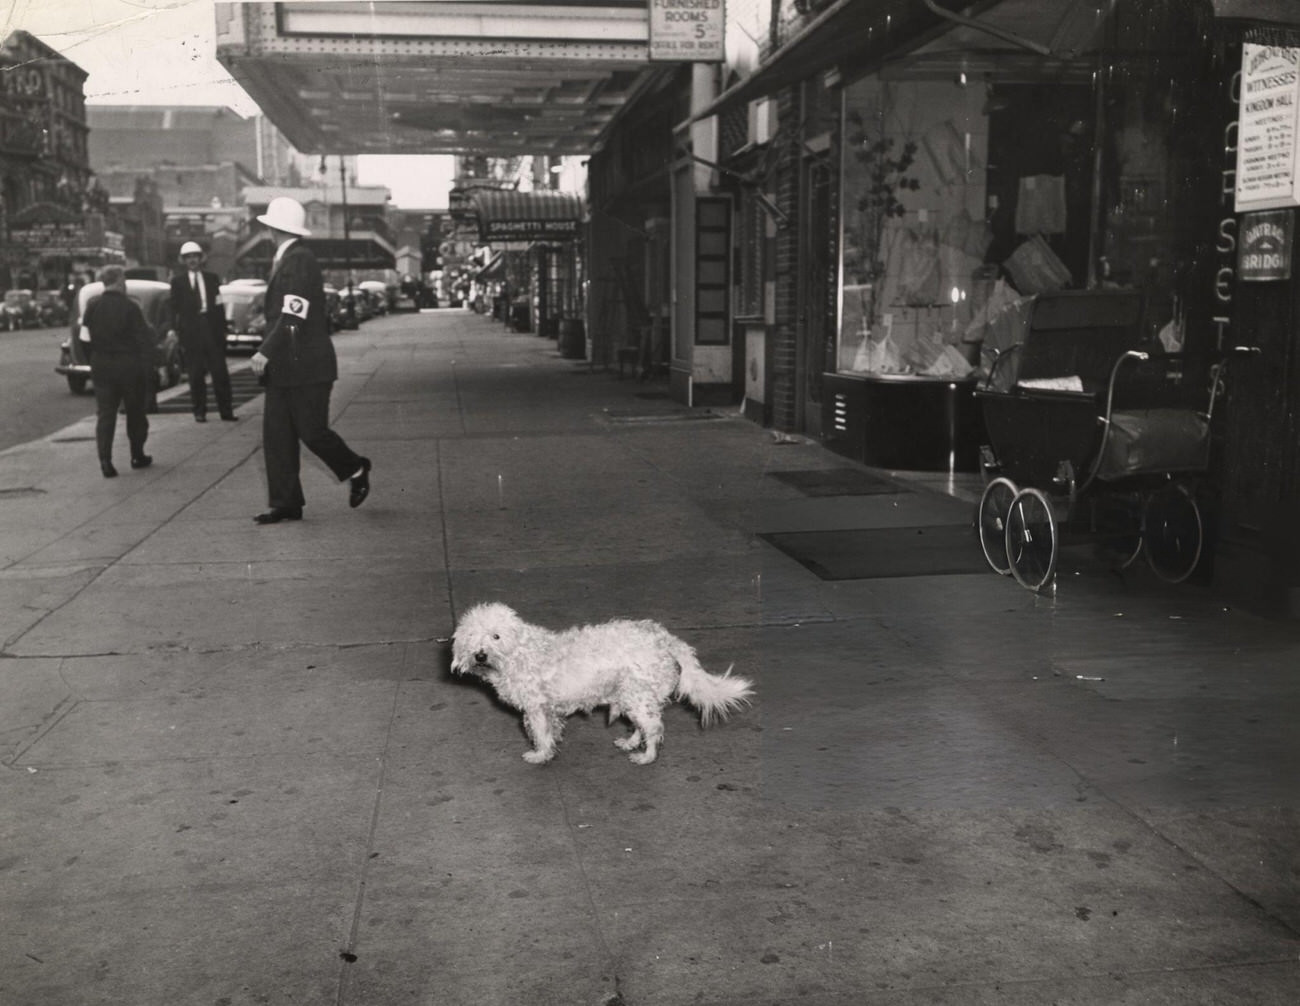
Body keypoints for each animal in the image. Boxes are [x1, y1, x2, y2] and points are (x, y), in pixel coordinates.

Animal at [449, 605, 754, 764]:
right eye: (472, 636)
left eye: (495, 636)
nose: (480, 655)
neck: (519, 652)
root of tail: (665, 639)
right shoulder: (547, 709)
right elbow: (551, 731)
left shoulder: (536, 708)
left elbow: (541, 734)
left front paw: (540, 755)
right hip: (633, 697)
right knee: (642, 726)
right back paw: (630, 743)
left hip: (637, 697)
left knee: (653, 728)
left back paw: (646, 757)